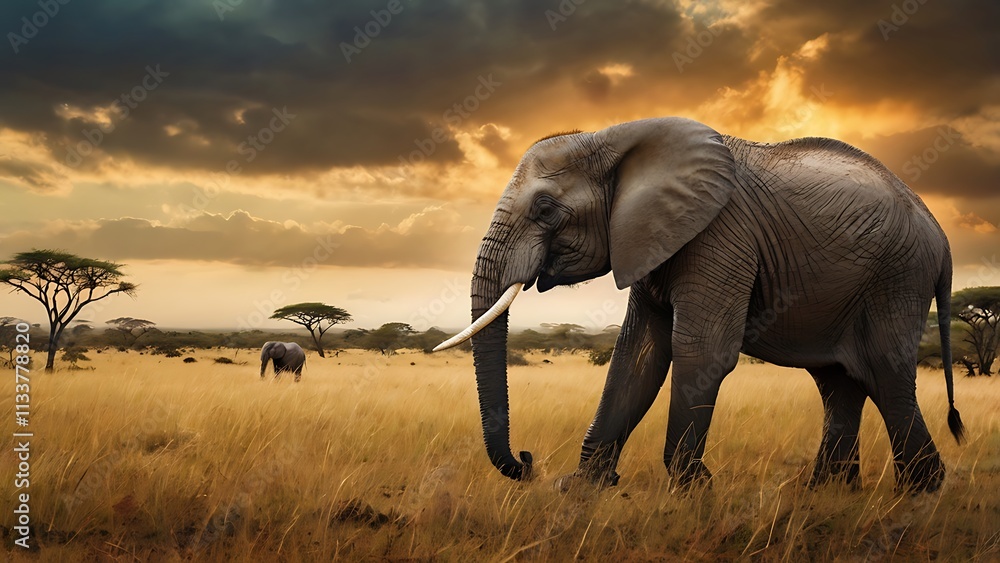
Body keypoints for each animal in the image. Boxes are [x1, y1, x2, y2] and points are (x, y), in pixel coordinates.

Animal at [434, 117, 965, 492]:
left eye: (545, 209)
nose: (527, 462)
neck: (614, 137)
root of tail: (941, 237)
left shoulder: (721, 233)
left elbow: (699, 350)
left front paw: (691, 489)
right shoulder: (650, 237)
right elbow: (638, 356)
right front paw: (582, 488)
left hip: (897, 276)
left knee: (884, 374)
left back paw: (920, 493)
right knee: (839, 381)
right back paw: (826, 492)